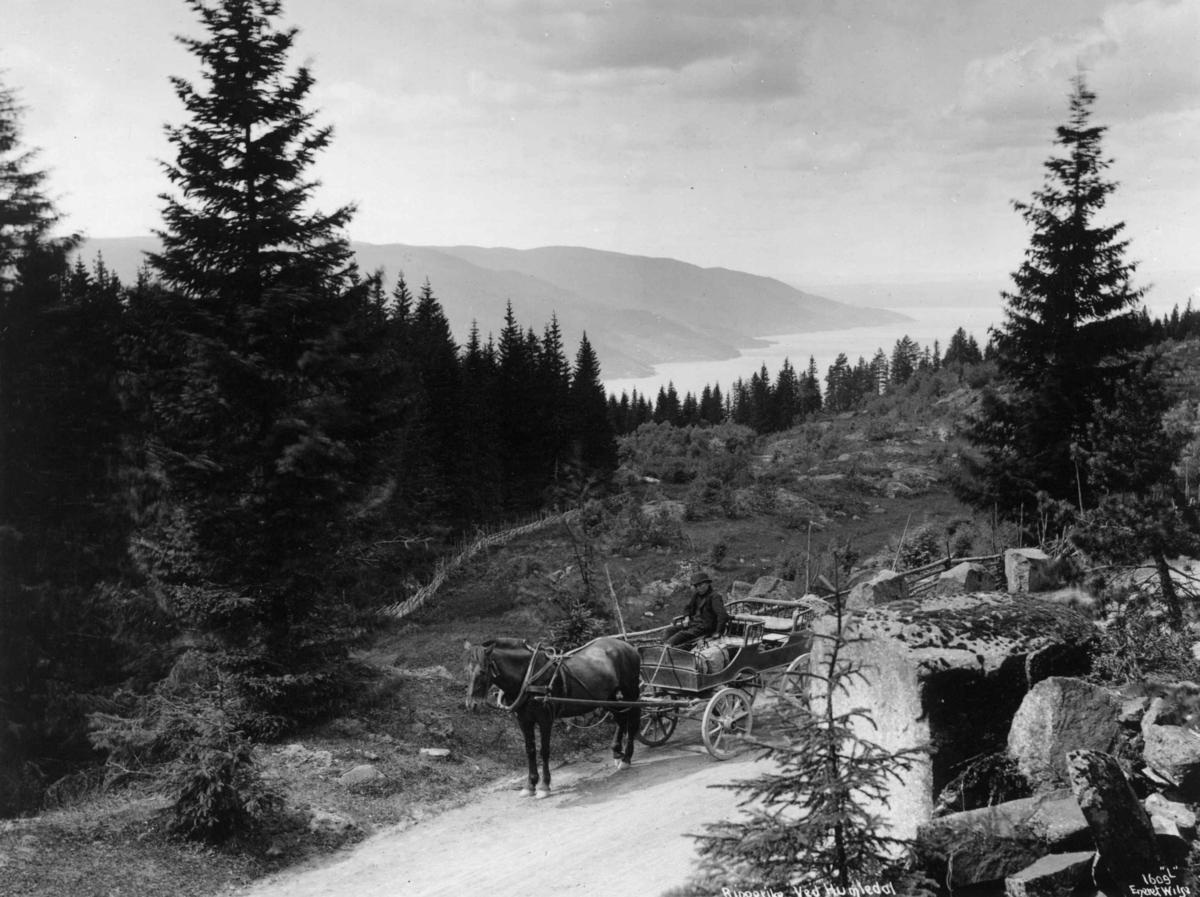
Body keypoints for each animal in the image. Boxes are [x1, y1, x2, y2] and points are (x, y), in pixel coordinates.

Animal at [463, 637, 643, 801]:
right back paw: (617, 753)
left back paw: (626, 758)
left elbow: (544, 751)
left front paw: (544, 786)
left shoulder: (545, 720)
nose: (472, 705)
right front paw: (530, 785)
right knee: (621, 718)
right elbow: (530, 750)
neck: (527, 677)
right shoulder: (524, 721)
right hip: (609, 696)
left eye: (482, 671)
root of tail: (627, 645)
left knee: (633, 720)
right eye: (466, 671)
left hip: (630, 692)